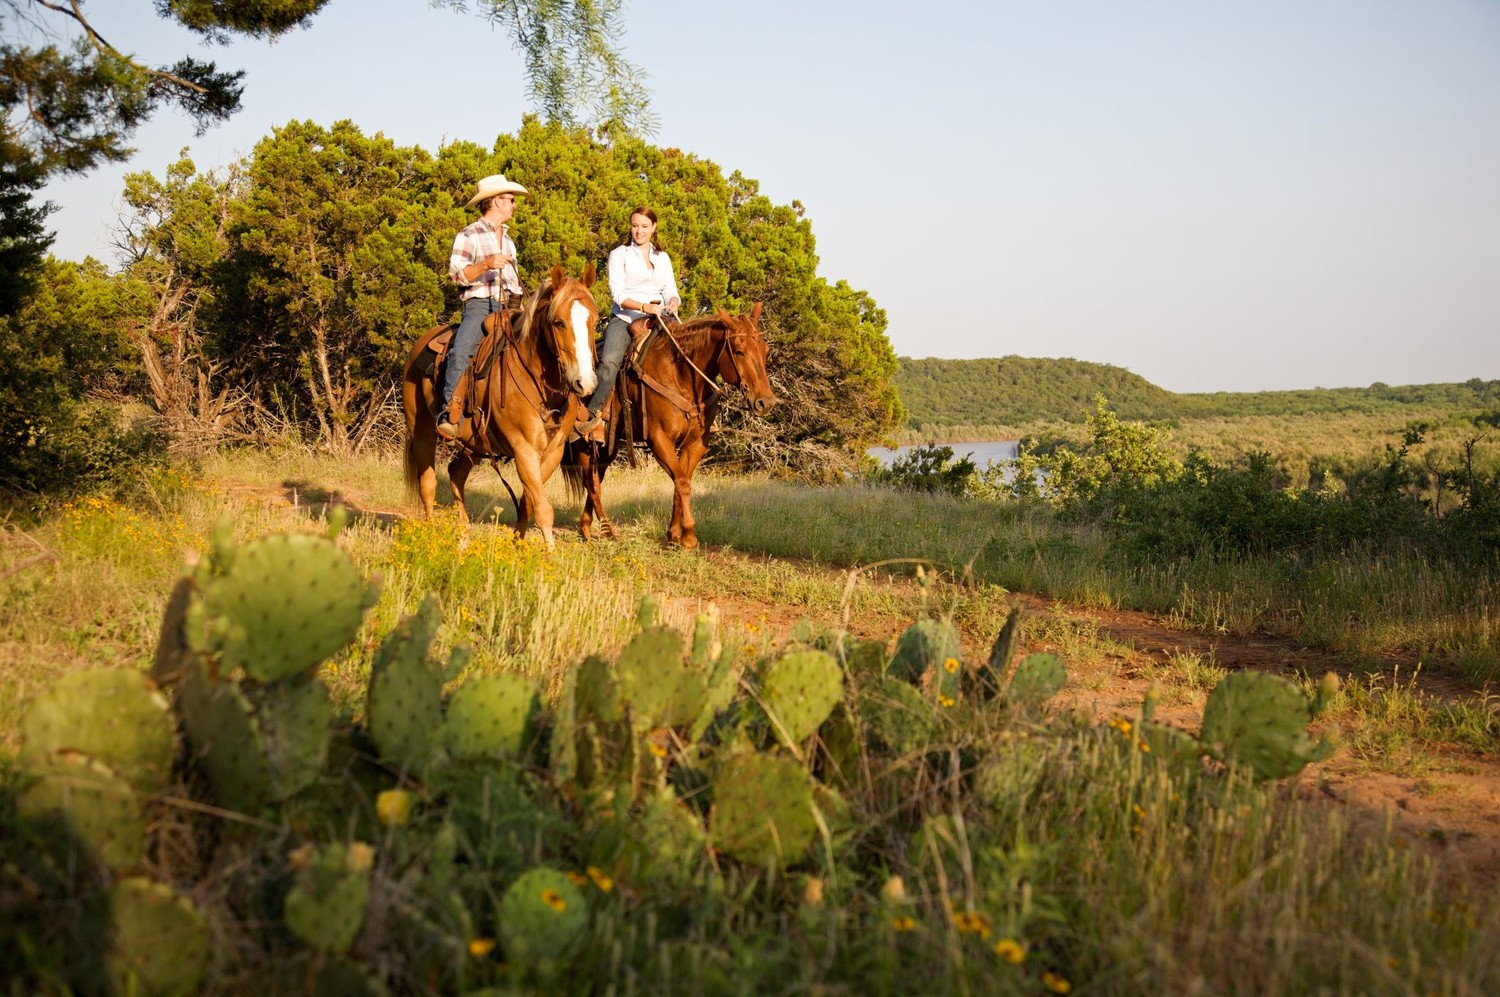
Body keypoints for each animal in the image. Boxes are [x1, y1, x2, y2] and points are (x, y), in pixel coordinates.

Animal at [411, 262, 603, 545]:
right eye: (558, 322)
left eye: (594, 320)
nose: (584, 383)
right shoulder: (523, 449)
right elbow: (543, 509)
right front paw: (549, 554)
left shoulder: (553, 452)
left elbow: (528, 503)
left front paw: (518, 546)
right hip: (422, 431)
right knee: (427, 483)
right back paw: (429, 538)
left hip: (473, 444)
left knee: (456, 473)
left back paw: (463, 538)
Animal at [561, 302, 774, 548]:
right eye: (739, 351)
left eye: (765, 350)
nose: (765, 402)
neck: (682, 375)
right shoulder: (659, 439)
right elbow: (681, 482)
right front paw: (689, 536)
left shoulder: (695, 444)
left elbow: (682, 482)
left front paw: (673, 534)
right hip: (583, 443)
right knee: (592, 483)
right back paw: (607, 531)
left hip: (607, 446)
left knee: (596, 478)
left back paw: (586, 528)